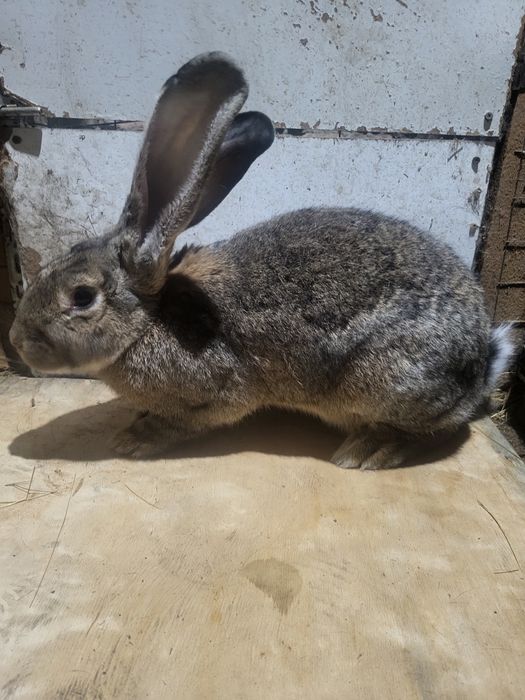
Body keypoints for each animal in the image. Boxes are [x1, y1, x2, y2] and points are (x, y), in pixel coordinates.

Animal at [9, 52, 514, 469]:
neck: (149, 321)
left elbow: (185, 422)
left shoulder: (216, 393)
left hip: (389, 382)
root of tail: (482, 360)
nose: (16, 340)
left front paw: (134, 439)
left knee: (437, 429)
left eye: (82, 296)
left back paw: (367, 451)